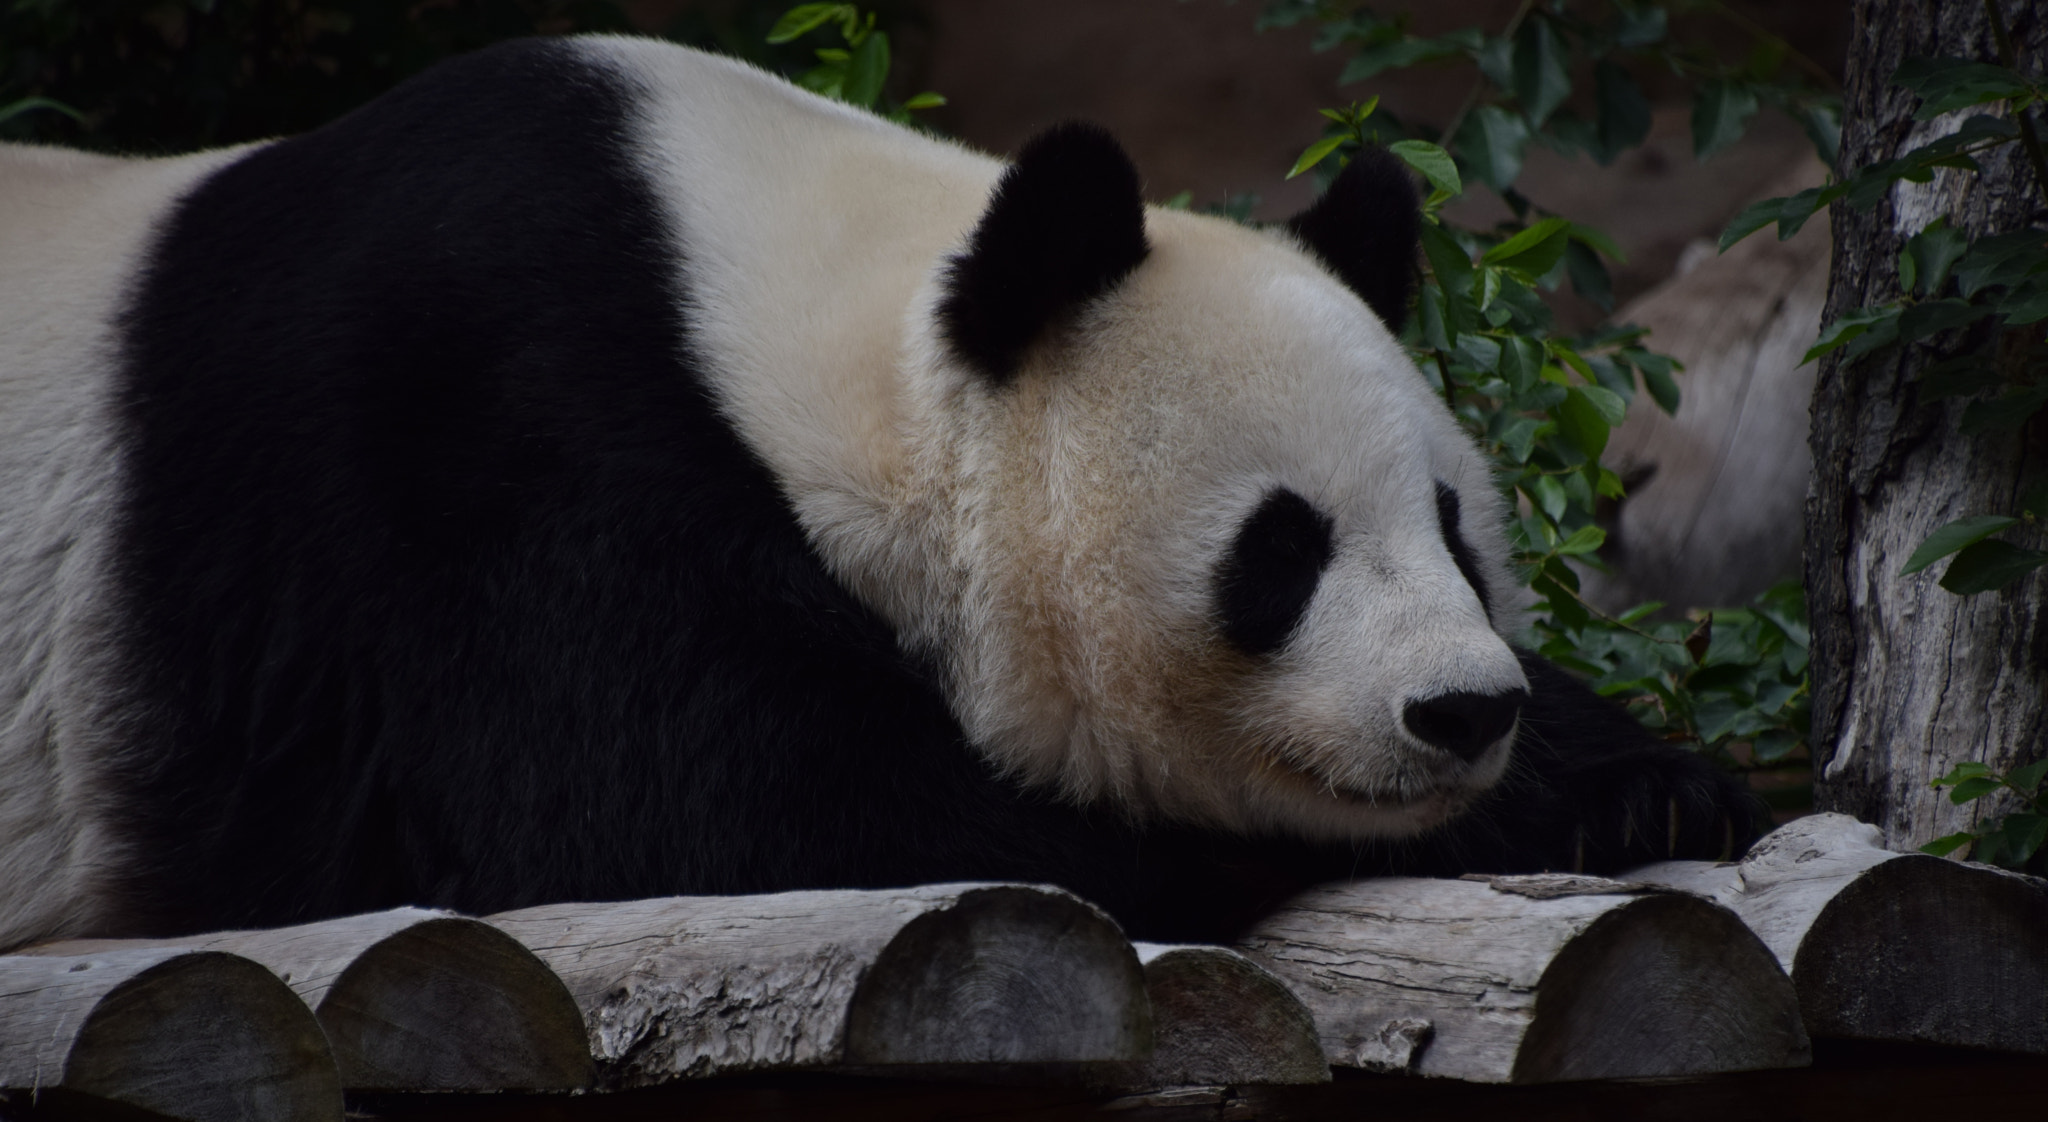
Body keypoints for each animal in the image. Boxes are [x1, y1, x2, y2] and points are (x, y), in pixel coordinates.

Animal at [0, 36, 1760, 950]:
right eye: (1283, 549)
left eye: (1457, 529)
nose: (1462, 712)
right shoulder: (473, 450)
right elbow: (721, 806)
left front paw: (1649, 782)